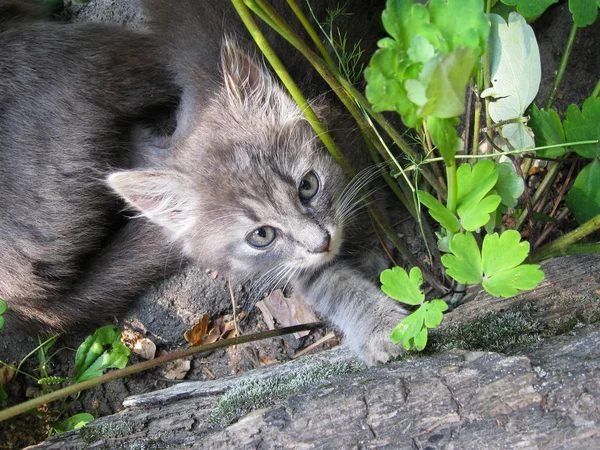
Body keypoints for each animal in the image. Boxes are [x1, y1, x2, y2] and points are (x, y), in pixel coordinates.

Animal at [1, 0, 408, 364]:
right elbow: (327, 280)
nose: (322, 242)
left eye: (308, 185)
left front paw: (374, 251)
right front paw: (380, 326)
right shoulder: (291, 262)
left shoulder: (348, 136)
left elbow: (370, 202)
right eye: (261, 235)